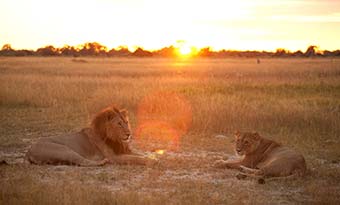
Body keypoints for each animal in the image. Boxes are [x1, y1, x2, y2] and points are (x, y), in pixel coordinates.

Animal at [25, 105, 155, 166]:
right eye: (119, 124)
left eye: (126, 122)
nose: (129, 134)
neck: (116, 139)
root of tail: (29, 150)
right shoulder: (114, 157)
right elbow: (136, 158)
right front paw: (151, 161)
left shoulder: (124, 150)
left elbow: (140, 154)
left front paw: (155, 157)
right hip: (64, 150)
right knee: (83, 162)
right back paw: (102, 162)